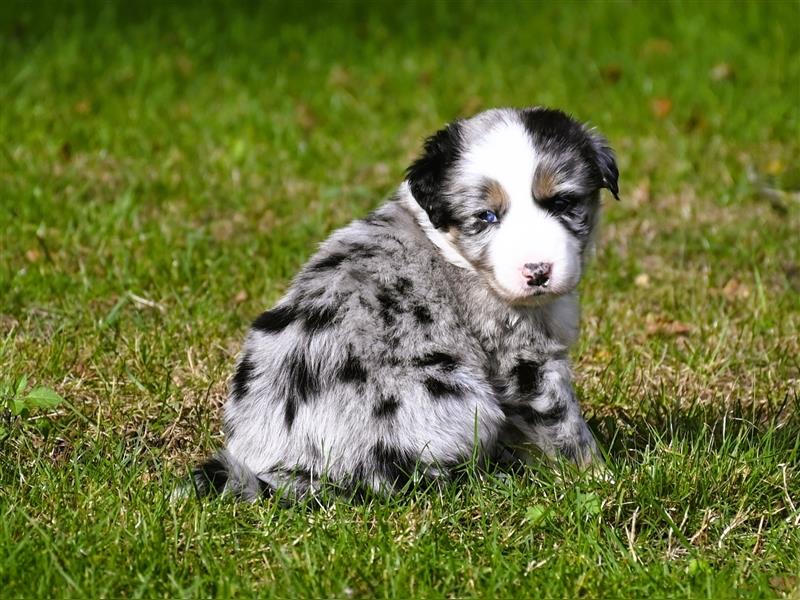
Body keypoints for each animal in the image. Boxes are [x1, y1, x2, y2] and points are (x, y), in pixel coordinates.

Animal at [194, 106, 620, 502]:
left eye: (562, 202)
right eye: (486, 216)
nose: (537, 272)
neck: (453, 253)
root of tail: (277, 467)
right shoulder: (523, 361)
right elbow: (563, 425)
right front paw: (599, 477)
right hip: (455, 401)